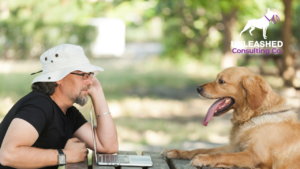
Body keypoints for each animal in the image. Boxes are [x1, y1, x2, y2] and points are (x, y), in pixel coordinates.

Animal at [163, 66, 300, 168]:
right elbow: (201, 149)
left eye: (221, 81)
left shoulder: (257, 156)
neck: (253, 116)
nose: (198, 88)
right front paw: (177, 152)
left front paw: (204, 159)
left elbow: (222, 155)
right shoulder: (234, 146)